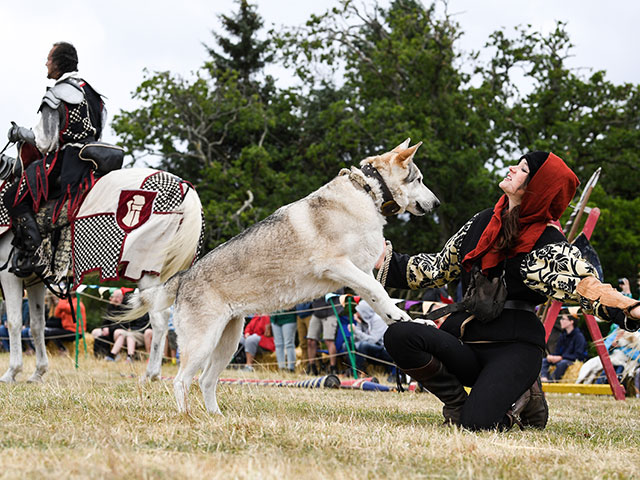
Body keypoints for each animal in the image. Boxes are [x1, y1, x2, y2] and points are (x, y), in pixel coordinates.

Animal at [0, 167, 202, 384]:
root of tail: (182, 186)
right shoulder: (35, 280)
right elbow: (37, 326)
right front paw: (38, 372)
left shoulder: (9, 275)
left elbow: (14, 322)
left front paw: (12, 372)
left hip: (146, 271)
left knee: (160, 319)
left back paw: (151, 374)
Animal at [125, 139, 440, 412]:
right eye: (419, 179)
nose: (437, 204)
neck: (366, 191)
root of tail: (183, 277)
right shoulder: (339, 266)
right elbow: (381, 294)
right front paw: (401, 318)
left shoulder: (361, 273)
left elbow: (381, 301)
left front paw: (408, 321)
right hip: (202, 344)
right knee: (181, 381)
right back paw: (187, 417)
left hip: (228, 342)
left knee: (205, 380)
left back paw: (216, 417)